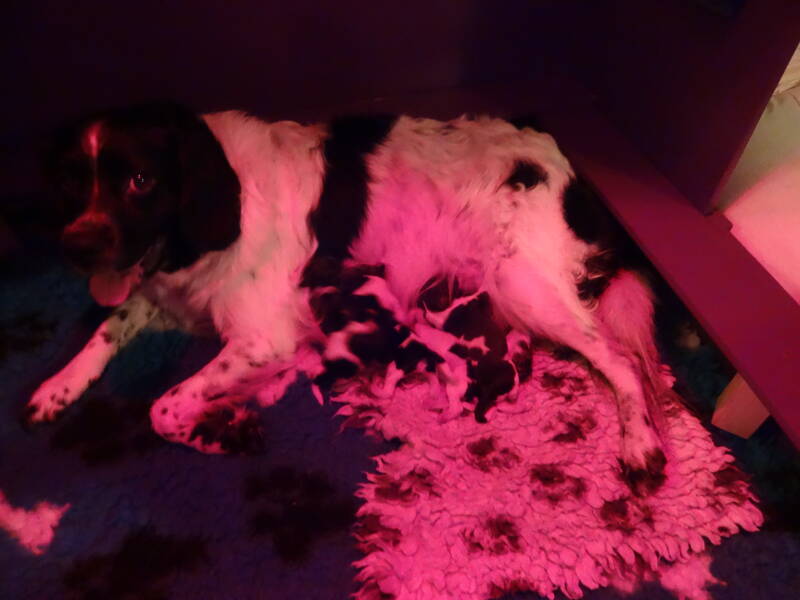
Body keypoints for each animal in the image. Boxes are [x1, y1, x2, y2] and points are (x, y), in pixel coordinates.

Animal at [24, 103, 668, 494]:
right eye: (70, 181)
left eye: (140, 181)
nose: (76, 246)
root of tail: (569, 170)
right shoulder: (158, 285)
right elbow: (110, 325)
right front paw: (58, 386)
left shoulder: (264, 338)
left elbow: (162, 407)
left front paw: (222, 432)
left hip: (526, 285)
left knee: (624, 362)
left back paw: (641, 445)